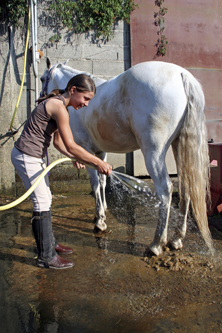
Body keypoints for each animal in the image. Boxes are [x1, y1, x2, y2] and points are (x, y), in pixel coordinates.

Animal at [40, 57, 213, 254]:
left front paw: (100, 222)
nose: (42, 98)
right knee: (186, 188)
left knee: (165, 190)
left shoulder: (86, 149)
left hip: (153, 152)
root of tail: (181, 74)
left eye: (42, 78)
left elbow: (94, 183)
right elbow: (102, 181)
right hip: (179, 146)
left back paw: (156, 244)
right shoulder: (100, 152)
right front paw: (100, 213)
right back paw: (176, 239)